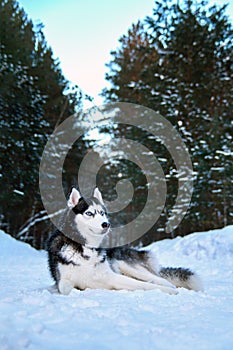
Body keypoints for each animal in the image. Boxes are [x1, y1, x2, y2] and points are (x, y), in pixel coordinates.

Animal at [46, 187, 202, 294]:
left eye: (102, 213)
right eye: (89, 213)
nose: (106, 224)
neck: (85, 248)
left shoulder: (111, 276)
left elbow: (144, 285)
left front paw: (169, 291)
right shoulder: (63, 281)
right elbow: (65, 287)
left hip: (128, 266)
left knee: (158, 279)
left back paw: (169, 285)